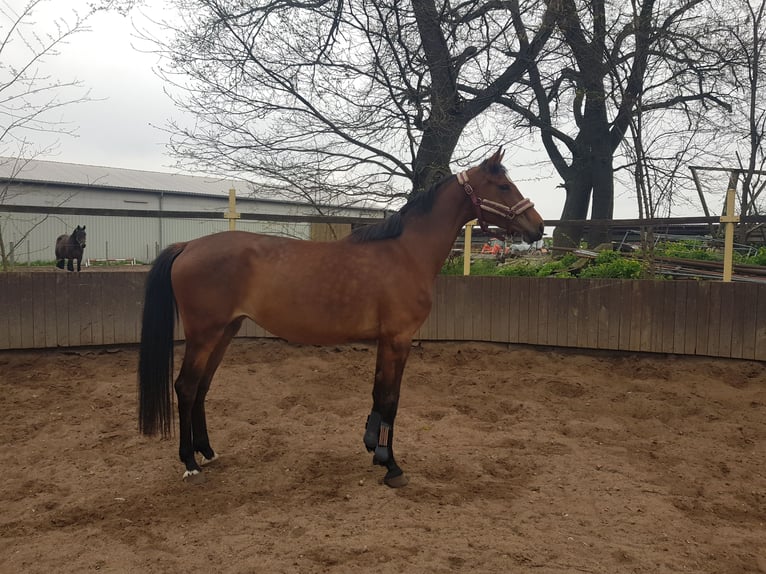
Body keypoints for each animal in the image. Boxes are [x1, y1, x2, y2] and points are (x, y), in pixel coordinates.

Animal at [137, 148, 544, 487]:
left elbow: (379, 394)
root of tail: (187, 246)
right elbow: (391, 398)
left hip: (225, 331)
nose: (538, 227)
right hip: (204, 334)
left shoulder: (387, 341)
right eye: (504, 185)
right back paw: (190, 463)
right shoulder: (398, 339)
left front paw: (374, 449)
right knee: (186, 387)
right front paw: (391, 465)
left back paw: (207, 452)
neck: (405, 252)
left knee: (202, 387)